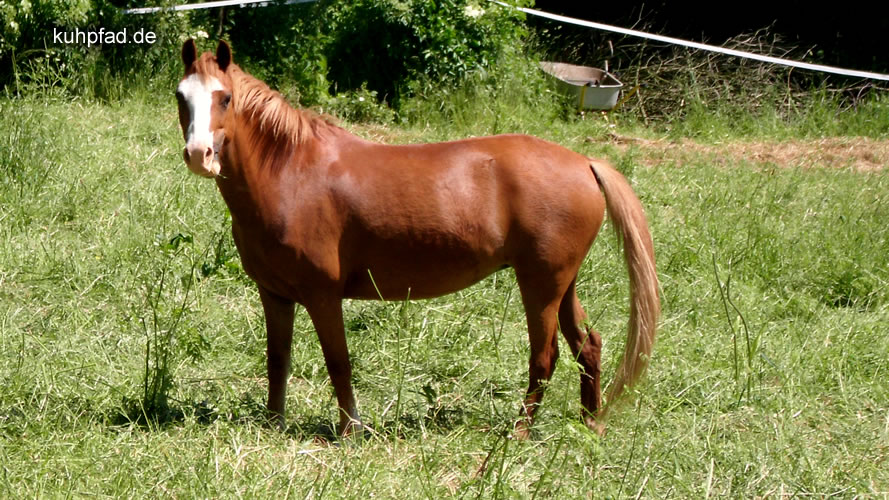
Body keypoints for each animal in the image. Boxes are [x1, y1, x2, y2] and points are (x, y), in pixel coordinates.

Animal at [175, 39, 659, 438]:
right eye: (182, 97)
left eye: (225, 97)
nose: (200, 155)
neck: (292, 172)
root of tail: (584, 163)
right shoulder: (274, 293)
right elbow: (278, 360)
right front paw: (274, 423)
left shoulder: (322, 295)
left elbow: (339, 362)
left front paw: (350, 431)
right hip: (561, 284)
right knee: (587, 346)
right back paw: (589, 423)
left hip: (540, 286)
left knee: (545, 357)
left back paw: (520, 433)